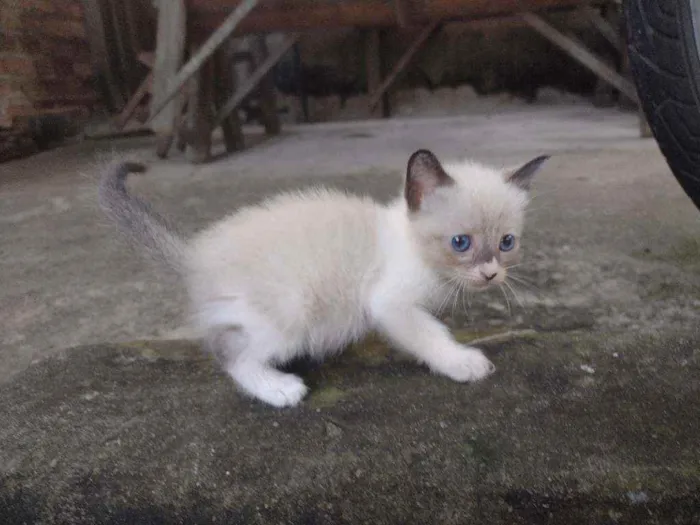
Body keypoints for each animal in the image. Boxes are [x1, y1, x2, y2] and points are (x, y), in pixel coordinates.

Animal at [98, 149, 548, 408]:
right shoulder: (390, 303)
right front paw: (462, 363)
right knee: (230, 353)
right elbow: (430, 335)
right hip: (292, 309)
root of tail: (196, 255)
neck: (411, 245)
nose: (490, 273)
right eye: (460, 242)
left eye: (507, 242)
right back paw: (280, 389)